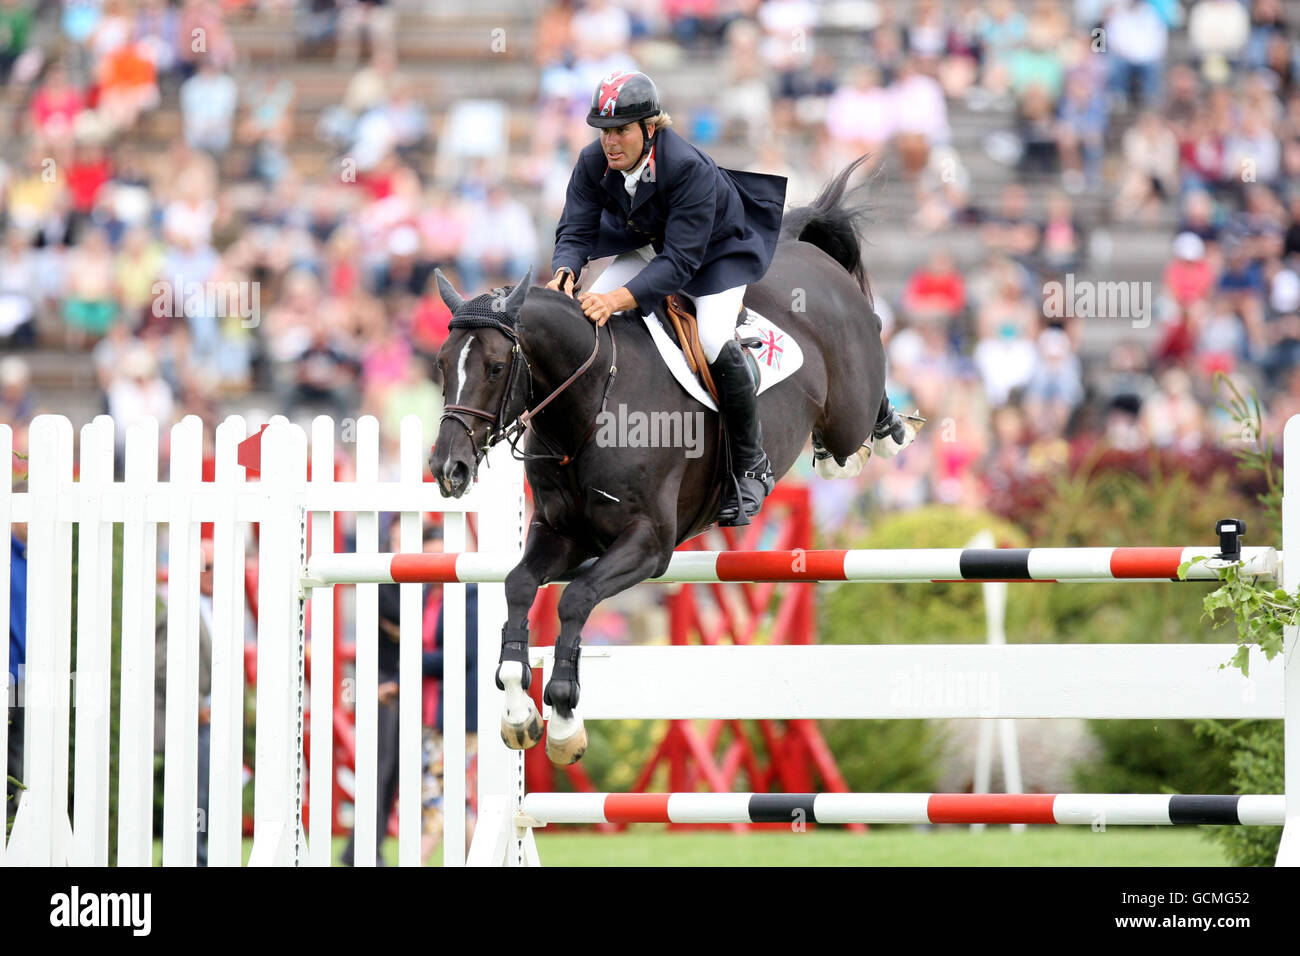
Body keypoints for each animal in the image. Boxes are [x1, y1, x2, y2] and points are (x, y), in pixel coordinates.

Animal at [431, 157, 909, 764]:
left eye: (495, 367)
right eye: (441, 362)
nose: (448, 469)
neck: (588, 406)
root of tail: (809, 253)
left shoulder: (648, 545)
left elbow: (577, 599)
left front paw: (563, 718)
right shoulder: (563, 535)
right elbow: (518, 585)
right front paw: (519, 712)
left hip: (848, 402)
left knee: (858, 413)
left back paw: (883, 433)